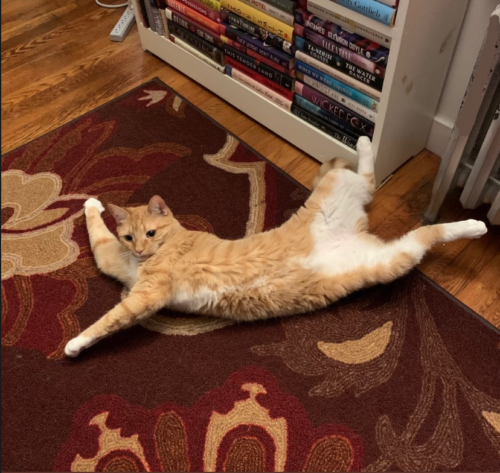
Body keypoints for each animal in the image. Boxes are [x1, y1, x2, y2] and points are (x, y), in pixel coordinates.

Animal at [63, 138, 488, 356]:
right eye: (129, 237)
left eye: (150, 233)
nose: (141, 251)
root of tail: (355, 230)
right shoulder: (115, 260)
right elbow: (98, 237)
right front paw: (90, 205)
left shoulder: (147, 293)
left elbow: (112, 318)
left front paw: (76, 343)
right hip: (390, 257)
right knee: (381, 193)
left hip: (352, 206)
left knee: (376, 182)